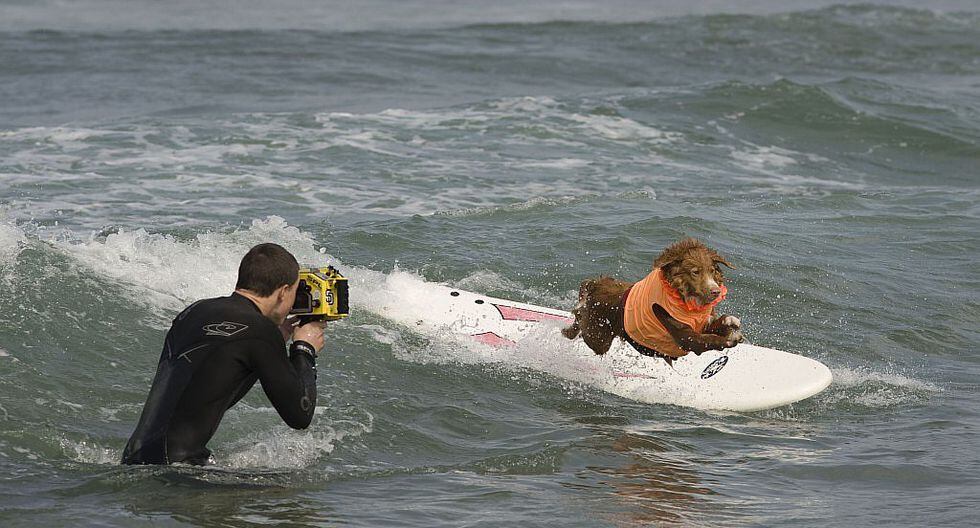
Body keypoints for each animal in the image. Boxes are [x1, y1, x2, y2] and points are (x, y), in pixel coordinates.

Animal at [560, 238, 744, 364]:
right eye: (695, 272)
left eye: (712, 270)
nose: (716, 291)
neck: (684, 299)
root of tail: (596, 286)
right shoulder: (685, 337)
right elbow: (706, 339)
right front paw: (731, 338)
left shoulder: (702, 322)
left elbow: (717, 323)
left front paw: (730, 321)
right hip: (598, 335)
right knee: (582, 322)